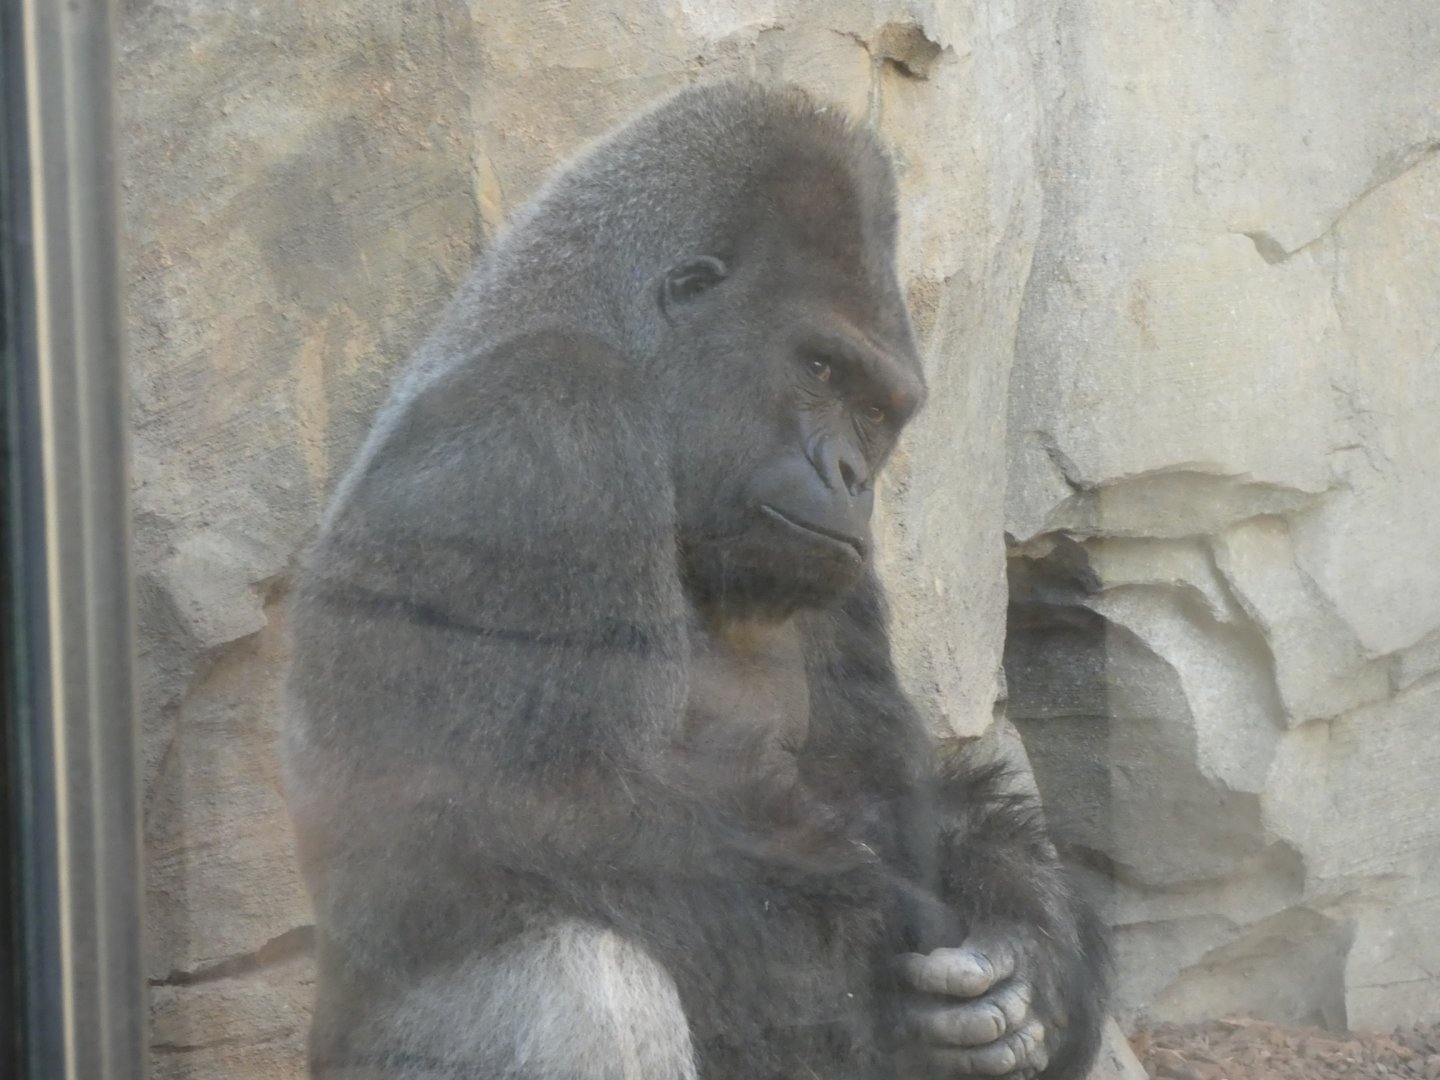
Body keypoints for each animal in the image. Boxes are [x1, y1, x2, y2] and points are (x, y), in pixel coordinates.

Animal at [283, 81, 1109, 1080]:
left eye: (877, 412)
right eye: (819, 367)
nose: (851, 478)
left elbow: (896, 795)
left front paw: (1030, 935)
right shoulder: (541, 434)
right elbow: (536, 819)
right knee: (582, 972)